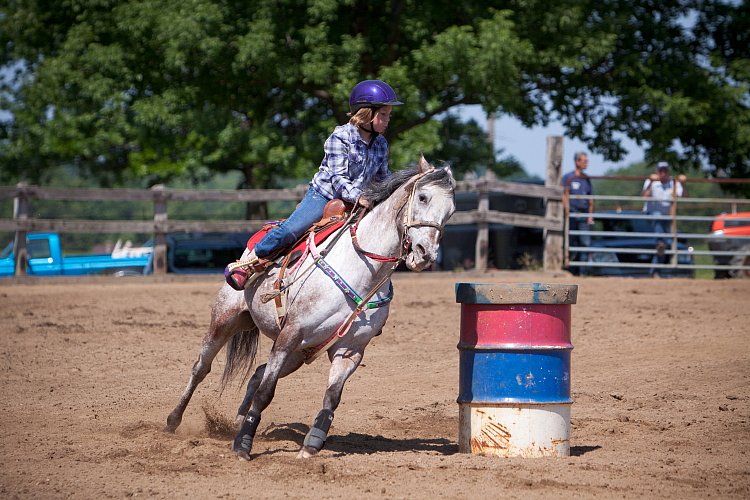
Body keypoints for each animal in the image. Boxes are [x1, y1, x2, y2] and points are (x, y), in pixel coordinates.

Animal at [167, 157, 456, 460]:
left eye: (451, 211)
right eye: (422, 197)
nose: (425, 254)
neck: (361, 268)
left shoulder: (350, 350)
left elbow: (331, 397)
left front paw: (311, 445)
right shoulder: (290, 333)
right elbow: (266, 392)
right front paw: (243, 446)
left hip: (298, 354)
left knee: (257, 374)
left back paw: (236, 422)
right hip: (226, 319)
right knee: (202, 368)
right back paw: (174, 421)